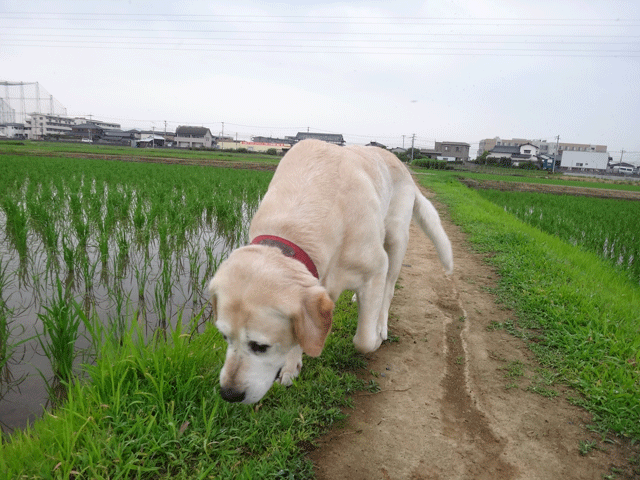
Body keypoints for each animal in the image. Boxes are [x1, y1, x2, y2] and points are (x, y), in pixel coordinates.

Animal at [208, 141, 452, 404]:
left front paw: (375, 338)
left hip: (396, 241)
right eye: (224, 337)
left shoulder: (375, 269)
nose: (229, 394)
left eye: (260, 346)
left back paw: (382, 326)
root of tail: (402, 165)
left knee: (388, 290)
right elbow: (303, 330)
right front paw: (291, 365)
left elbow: (363, 341)